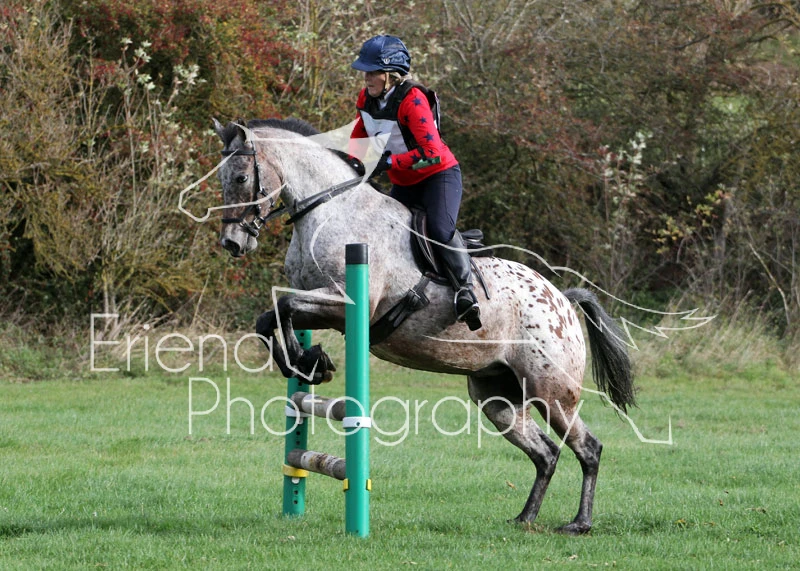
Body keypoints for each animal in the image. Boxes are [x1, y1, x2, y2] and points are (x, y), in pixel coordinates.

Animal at [212, 117, 636, 534]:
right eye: (221, 178)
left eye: (240, 177)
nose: (232, 243)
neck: (332, 210)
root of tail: (562, 299)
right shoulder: (320, 304)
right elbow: (272, 316)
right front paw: (308, 362)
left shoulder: (346, 303)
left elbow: (283, 306)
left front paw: (311, 361)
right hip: (497, 398)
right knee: (545, 453)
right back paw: (524, 519)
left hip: (552, 393)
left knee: (587, 447)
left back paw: (579, 523)